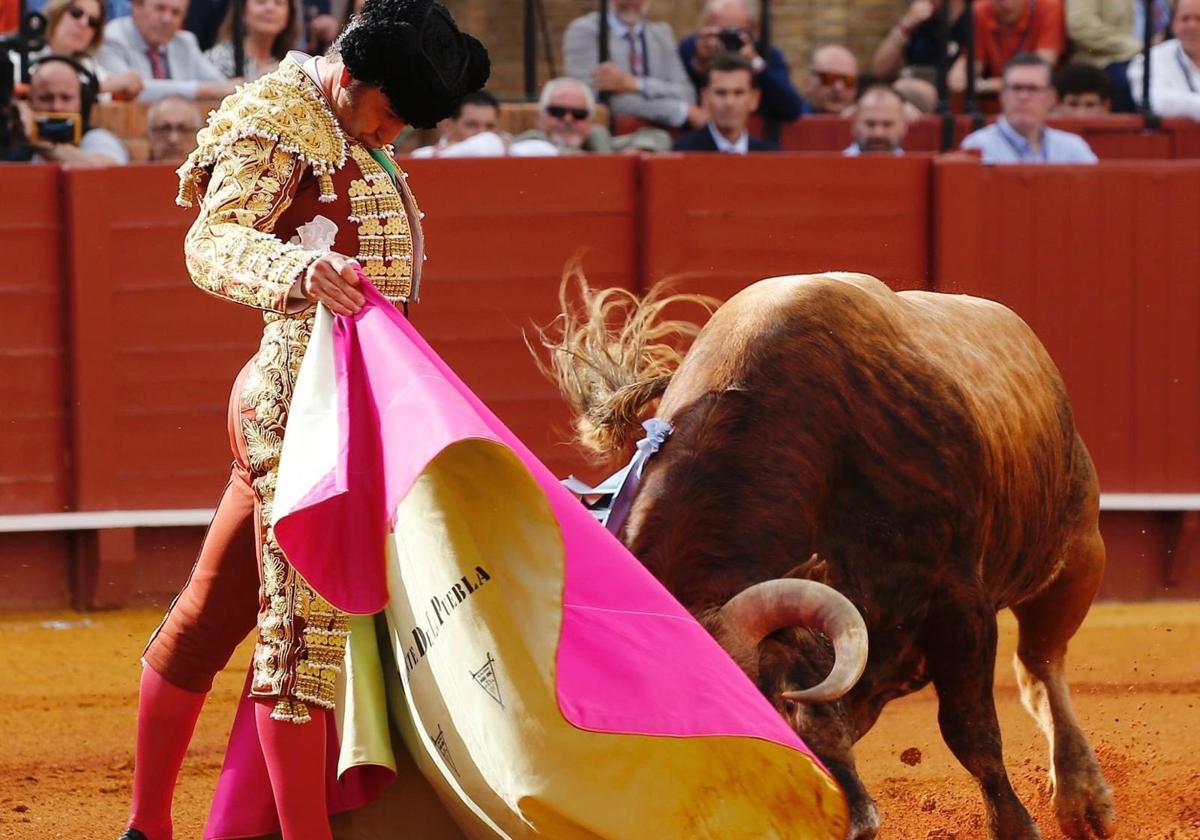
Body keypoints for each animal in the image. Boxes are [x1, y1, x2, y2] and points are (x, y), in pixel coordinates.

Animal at [542, 272, 1113, 835]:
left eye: (772, 704)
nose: (848, 824)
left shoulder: (959, 598)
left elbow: (970, 729)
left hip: (1076, 551)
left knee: (1040, 663)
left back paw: (1085, 801)